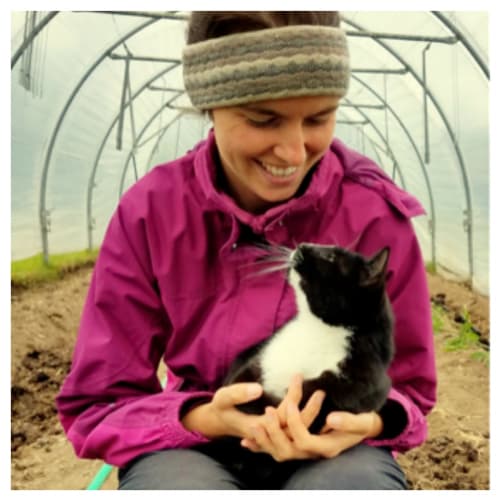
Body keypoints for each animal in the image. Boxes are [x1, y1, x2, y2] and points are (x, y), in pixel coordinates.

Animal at [195, 243, 394, 488]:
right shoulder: (257, 359)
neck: (317, 330)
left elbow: (326, 397)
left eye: (330, 256)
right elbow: (240, 385)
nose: (302, 246)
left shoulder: (366, 382)